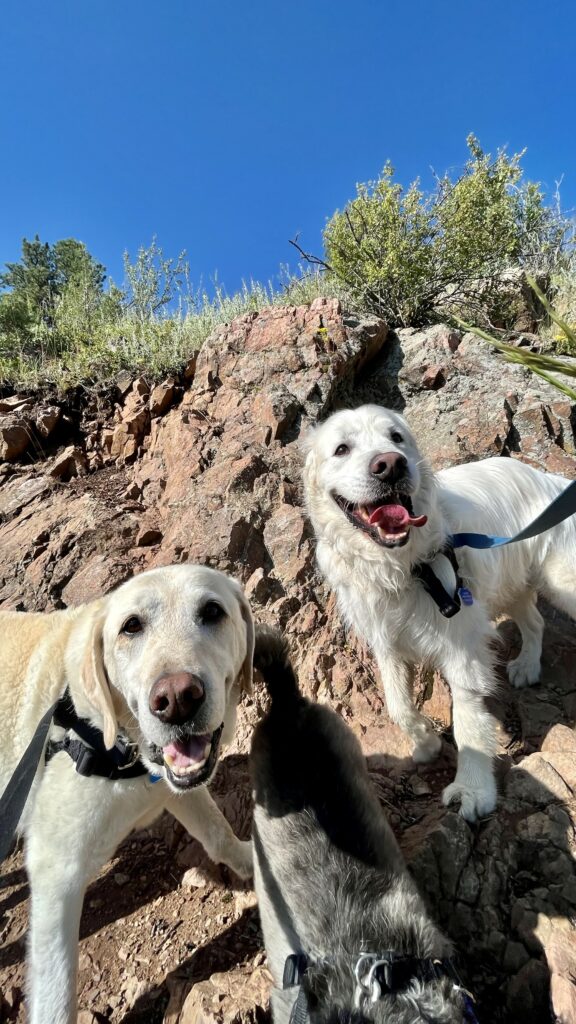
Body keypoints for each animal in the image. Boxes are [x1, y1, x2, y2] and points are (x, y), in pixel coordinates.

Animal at [303, 403, 569, 819]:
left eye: (396, 437)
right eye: (342, 448)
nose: (390, 465)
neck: (400, 566)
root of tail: (548, 479)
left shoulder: (462, 646)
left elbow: (469, 724)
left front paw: (473, 790)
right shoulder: (387, 642)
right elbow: (398, 706)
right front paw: (425, 743)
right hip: (510, 583)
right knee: (536, 621)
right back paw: (527, 666)